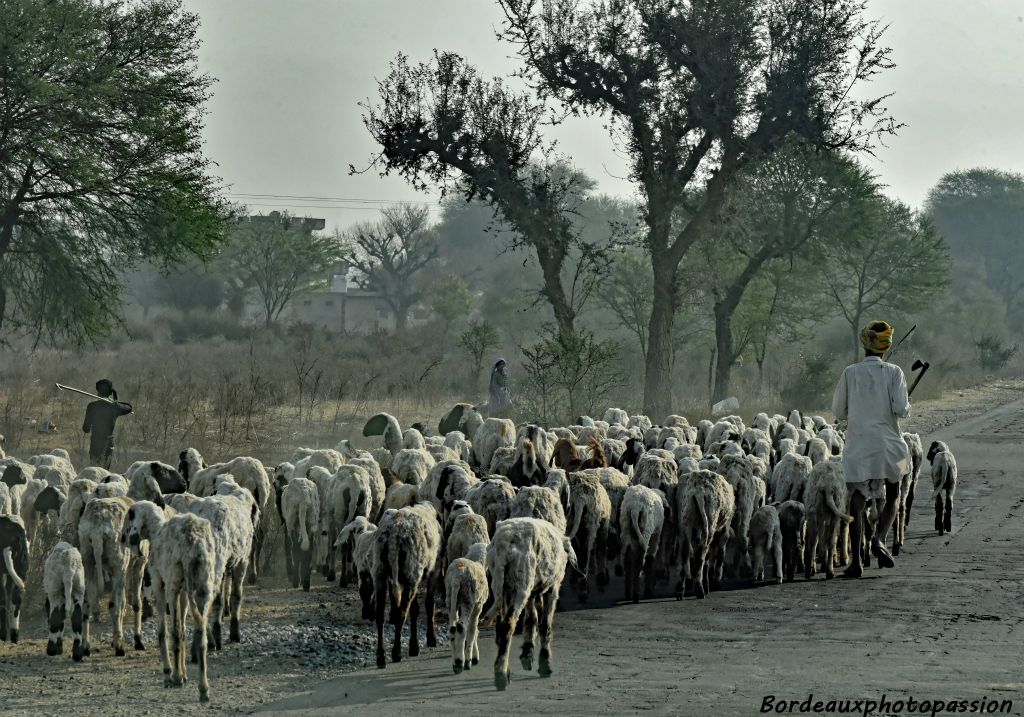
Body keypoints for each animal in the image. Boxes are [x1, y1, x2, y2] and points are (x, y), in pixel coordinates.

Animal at [122, 501, 221, 704]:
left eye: (130, 515)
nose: (122, 539)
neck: (157, 530)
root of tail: (194, 543)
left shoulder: (160, 583)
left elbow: (164, 631)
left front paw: (170, 673)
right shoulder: (184, 592)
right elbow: (183, 631)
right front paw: (183, 674)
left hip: (172, 585)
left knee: (174, 631)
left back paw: (174, 677)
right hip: (204, 586)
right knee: (199, 633)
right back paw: (203, 689)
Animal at [444, 544, 487, 676]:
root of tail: (457, 575)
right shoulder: (478, 605)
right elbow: (473, 629)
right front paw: (472, 659)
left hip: (450, 597)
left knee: (452, 629)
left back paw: (455, 662)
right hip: (468, 599)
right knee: (462, 628)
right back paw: (461, 663)